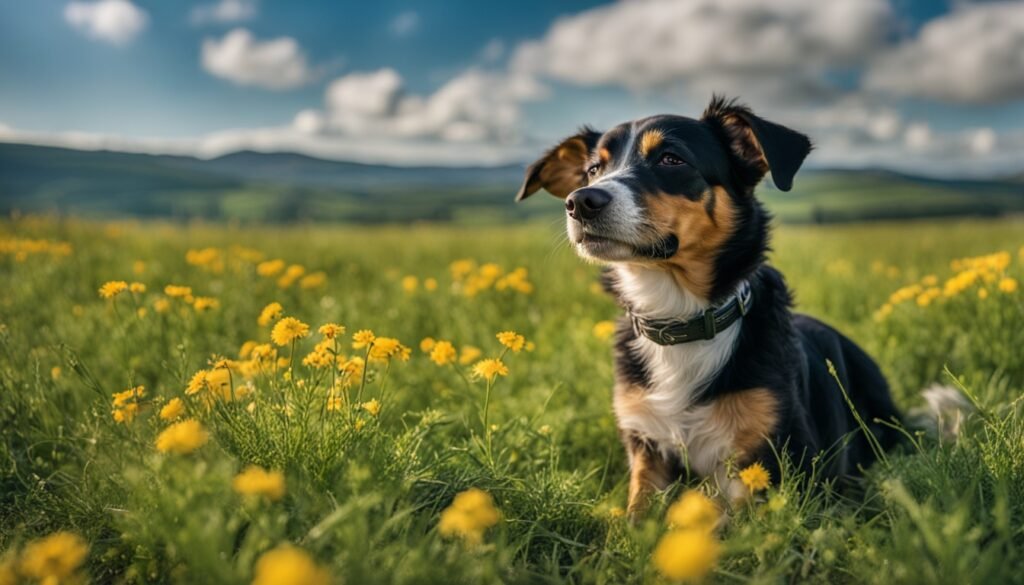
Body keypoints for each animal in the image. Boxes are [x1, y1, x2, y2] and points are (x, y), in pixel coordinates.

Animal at [516, 96, 909, 516]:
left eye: (671, 159)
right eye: (593, 170)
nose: (581, 202)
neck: (680, 320)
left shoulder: (778, 458)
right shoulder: (647, 447)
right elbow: (634, 517)